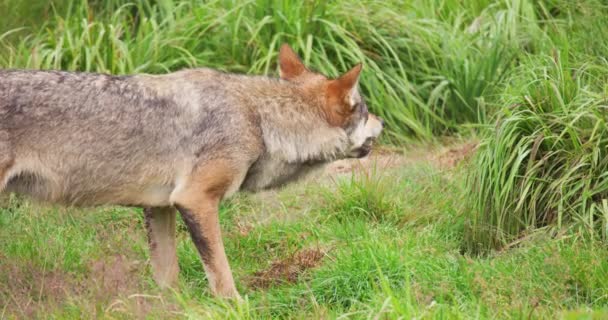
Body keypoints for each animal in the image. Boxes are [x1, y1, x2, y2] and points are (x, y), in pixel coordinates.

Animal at [0, 44, 382, 298]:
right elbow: (222, 275)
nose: (383, 122)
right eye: (364, 111)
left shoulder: (159, 206)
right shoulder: (196, 200)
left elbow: (169, 279)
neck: (257, 119)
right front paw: (235, 306)